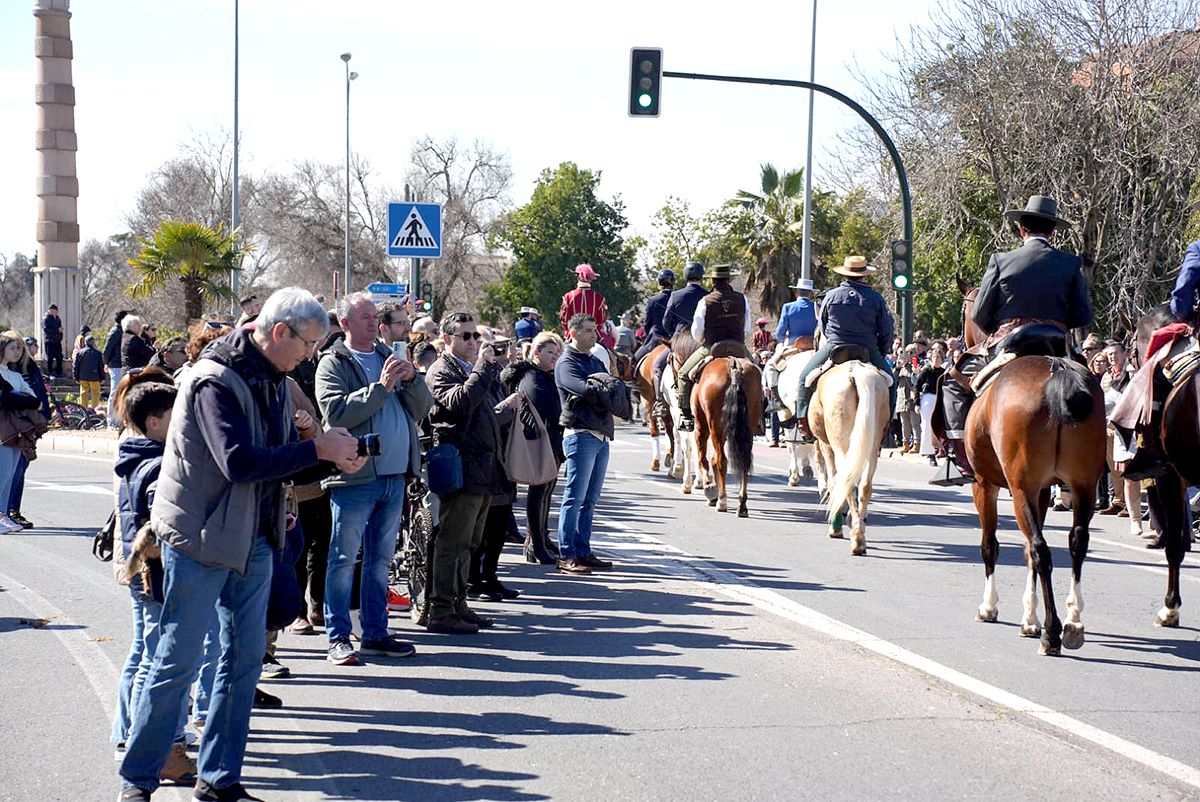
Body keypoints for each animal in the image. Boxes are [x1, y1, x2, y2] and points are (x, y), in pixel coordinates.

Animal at [691, 352, 763, 516]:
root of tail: (735, 368)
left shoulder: (701, 426)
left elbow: (704, 459)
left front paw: (710, 488)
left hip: (714, 427)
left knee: (722, 461)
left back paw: (722, 500)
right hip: (747, 430)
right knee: (744, 462)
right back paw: (742, 504)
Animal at [806, 352, 892, 554]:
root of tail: (856, 373)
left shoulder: (825, 444)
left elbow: (832, 481)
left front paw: (836, 525)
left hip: (840, 445)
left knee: (847, 482)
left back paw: (855, 537)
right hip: (872, 444)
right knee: (865, 485)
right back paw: (859, 531)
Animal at [955, 288, 1104, 653]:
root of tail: (1060, 373)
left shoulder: (986, 485)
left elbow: (991, 545)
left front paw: (991, 607)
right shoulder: (1042, 490)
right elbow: (1025, 553)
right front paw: (1029, 618)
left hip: (1020, 487)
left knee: (1041, 549)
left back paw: (1053, 631)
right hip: (1083, 486)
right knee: (1076, 542)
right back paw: (1073, 622)